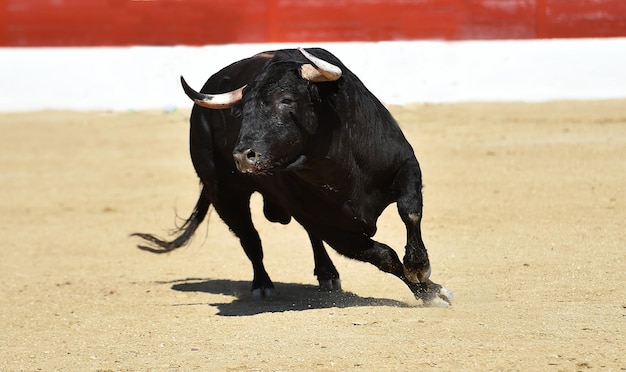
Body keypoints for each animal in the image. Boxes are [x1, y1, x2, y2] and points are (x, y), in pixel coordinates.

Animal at [134, 48, 450, 306]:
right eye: (241, 111)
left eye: (285, 100)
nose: (242, 156)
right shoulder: (333, 228)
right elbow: (383, 255)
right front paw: (431, 292)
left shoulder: (405, 165)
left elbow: (409, 211)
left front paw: (420, 269)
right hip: (225, 194)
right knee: (250, 238)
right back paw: (263, 285)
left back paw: (327, 275)